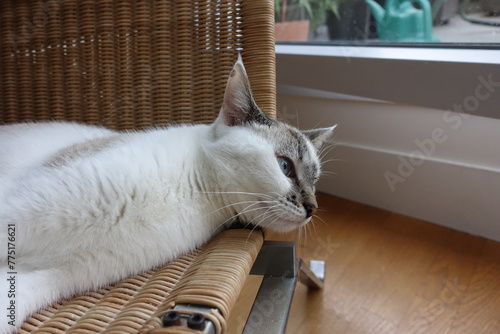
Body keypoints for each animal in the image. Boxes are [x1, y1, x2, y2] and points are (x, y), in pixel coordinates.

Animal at [0, 56, 336, 332]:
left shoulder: (63, 273)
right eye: (285, 166)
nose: (313, 207)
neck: (193, 194)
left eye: (314, 182)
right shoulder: (18, 212)